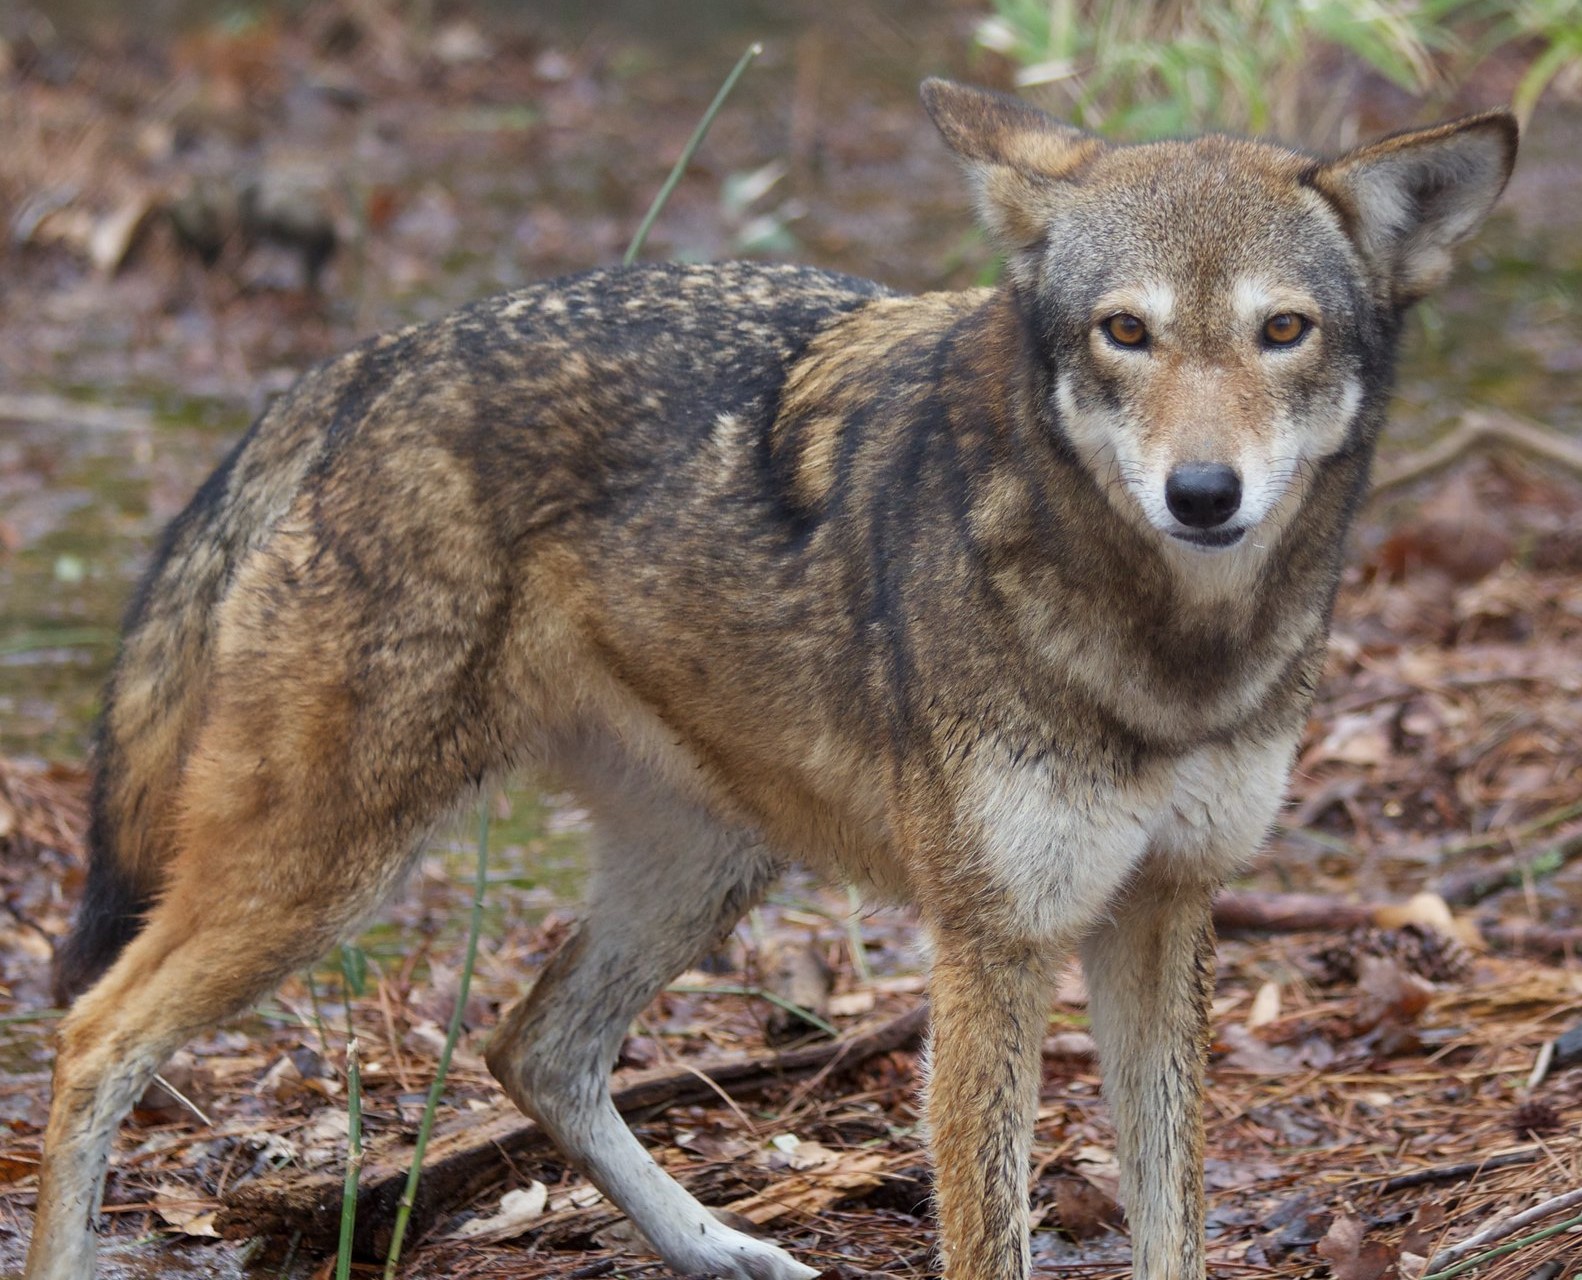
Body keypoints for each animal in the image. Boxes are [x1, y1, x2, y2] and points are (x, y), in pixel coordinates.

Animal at [28, 80, 1515, 1280]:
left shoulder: (1161, 912)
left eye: (1282, 330)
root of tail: (358, 368)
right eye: (1124, 333)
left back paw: (717, 1247)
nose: (1202, 493)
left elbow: (1173, 1222)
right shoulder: (991, 945)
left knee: (530, 1046)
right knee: (91, 1037)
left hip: (705, 866)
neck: (1170, 653)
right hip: (323, 876)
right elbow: (990, 1230)